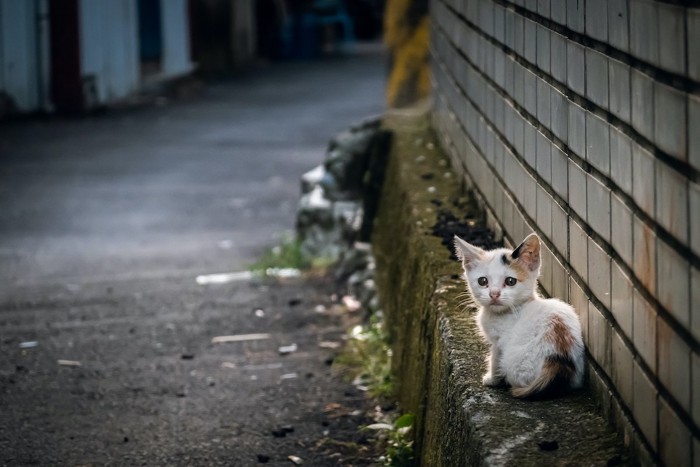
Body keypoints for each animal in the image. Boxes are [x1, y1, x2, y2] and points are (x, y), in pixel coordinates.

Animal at [454, 234, 584, 398]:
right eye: (482, 281)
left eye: (510, 281)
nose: (494, 294)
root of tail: (558, 360)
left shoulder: (499, 341)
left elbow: (495, 359)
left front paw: (491, 379)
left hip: (513, 361)